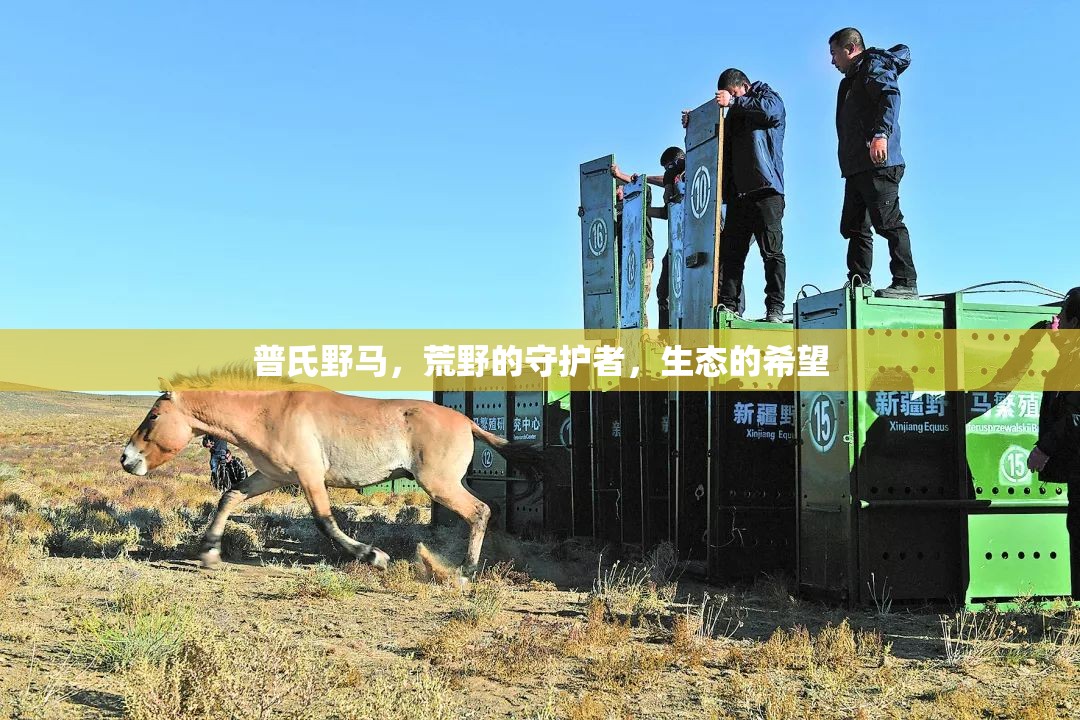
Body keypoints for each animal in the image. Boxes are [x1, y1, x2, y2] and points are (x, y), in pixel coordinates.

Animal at [120, 371, 548, 574]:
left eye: (153, 415)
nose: (127, 459)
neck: (268, 411)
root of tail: (466, 422)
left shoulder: (309, 476)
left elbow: (325, 522)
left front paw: (373, 556)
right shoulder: (271, 477)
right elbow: (229, 497)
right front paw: (209, 553)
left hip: (440, 485)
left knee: (479, 512)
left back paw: (465, 571)